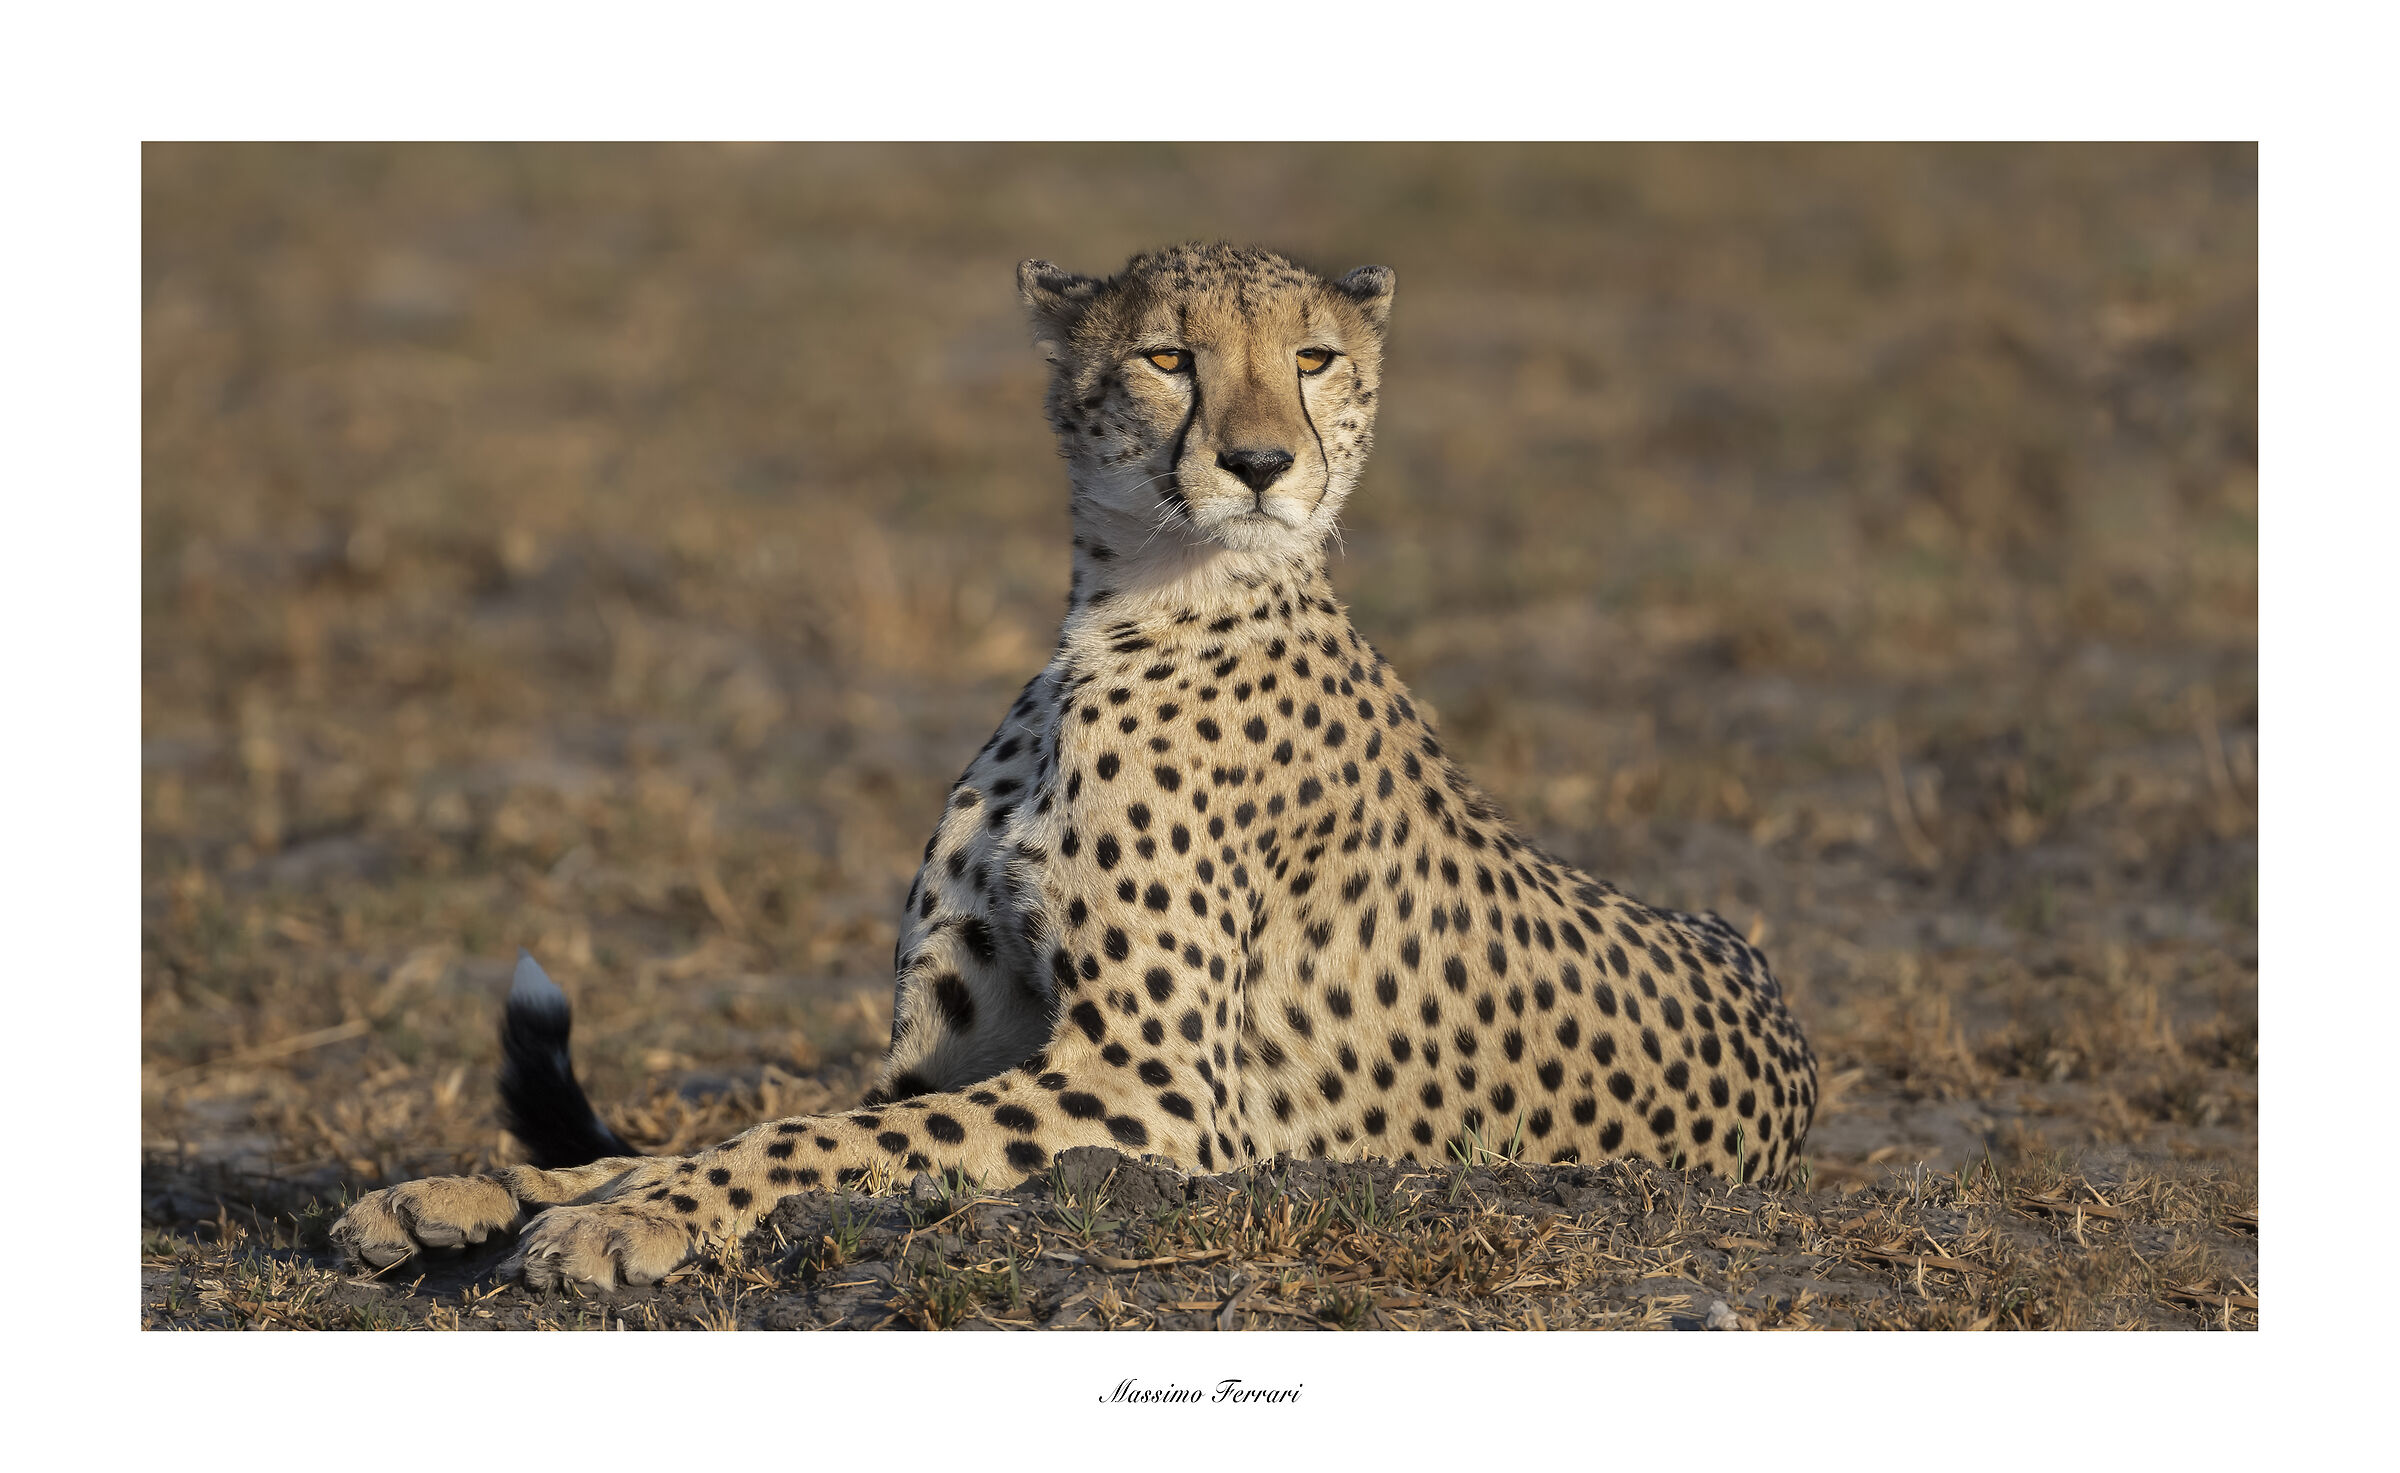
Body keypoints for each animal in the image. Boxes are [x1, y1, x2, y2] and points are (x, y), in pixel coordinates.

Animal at [331, 241, 1818, 1291]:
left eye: (1315, 358)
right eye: (1168, 357)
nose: (1260, 462)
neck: (1130, 609)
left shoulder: (1157, 1096)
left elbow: (801, 1139)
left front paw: (635, 1224)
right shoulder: (950, 1057)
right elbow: (733, 1129)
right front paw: (465, 1194)